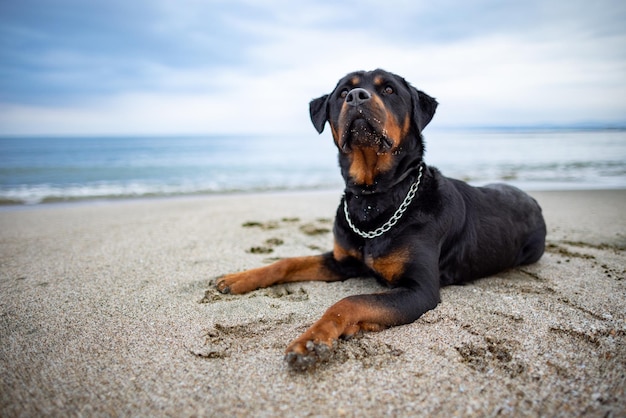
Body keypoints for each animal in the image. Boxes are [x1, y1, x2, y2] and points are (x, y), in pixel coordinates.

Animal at [216, 68, 544, 370]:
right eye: (342, 92)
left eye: (388, 89)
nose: (356, 96)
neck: (373, 199)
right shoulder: (343, 260)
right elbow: (288, 262)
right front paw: (238, 278)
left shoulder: (419, 289)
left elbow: (351, 301)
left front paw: (311, 341)